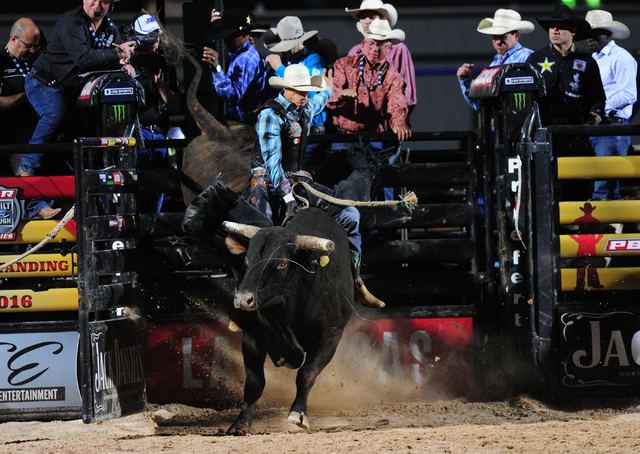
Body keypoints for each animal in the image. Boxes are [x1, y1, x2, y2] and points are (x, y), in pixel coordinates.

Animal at [222, 207, 356, 434]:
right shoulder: (252, 336)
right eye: (248, 259)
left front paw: (298, 413)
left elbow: (307, 373)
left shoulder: (331, 336)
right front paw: (240, 424)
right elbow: (254, 383)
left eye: (282, 263)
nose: (243, 299)